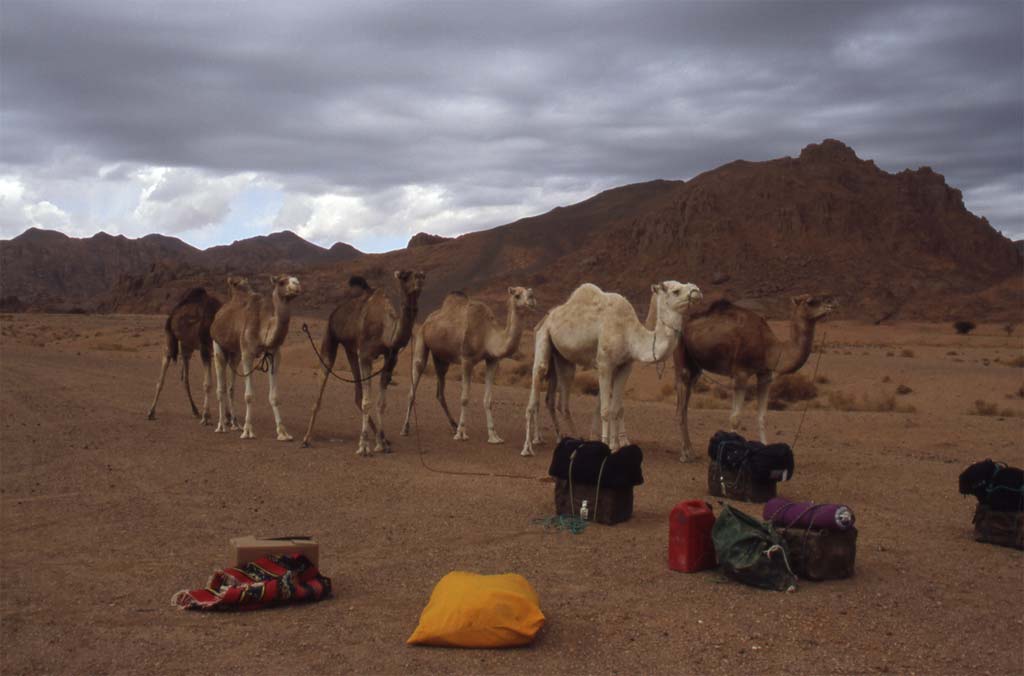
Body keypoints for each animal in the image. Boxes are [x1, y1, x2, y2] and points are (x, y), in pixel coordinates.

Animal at [210, 272, 299, 440]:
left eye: (296, 279)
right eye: (281, 282)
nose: (297, 284)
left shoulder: (274, 354)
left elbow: (274, 397)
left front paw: (283, 432)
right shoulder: (247, 353)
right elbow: (249, 395)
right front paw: (248, 431)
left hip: (235, 353)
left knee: (231, 388)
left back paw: (235, 424)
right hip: (218, 345)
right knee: (220, 388)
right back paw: (221, 426)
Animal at [299, 268, 425, 454]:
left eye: (422, 275)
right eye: (405, 275)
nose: (419, 280)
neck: (386, 330)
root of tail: (337, 310)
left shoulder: (391, 358)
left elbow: (381, 403)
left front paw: (381, 443)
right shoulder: (365, 355)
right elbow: (367, 402)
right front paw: (364, 446)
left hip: (350, 349)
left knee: (357, 392)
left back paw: (384, 439)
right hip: (331, 336)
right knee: (323, 378)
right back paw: (306, 438)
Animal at [401, 284, 540, 444]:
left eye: (529, 291)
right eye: (517, 295)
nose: (532, 298)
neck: (488, 335)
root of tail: (428, 320)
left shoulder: (492, 360)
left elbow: (488, 399)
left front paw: (494, 436)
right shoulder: (466, 359)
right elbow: (465, 398)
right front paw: (461, 434)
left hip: (441, 358)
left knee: (440, 392)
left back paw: (453, 424)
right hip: (421, 339)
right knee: (414, 381)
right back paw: (405, 428)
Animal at [675, 290, 835, 456]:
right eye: (810, 301)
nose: (830, 306)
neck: (771, 350)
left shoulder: (764, 375)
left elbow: (762, 416)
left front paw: (765, 447)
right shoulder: (741, 373)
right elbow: (735, 418)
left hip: (695, 367)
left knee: (685, 405)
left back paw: (690, 450)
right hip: (681, 353)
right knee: (681, 405)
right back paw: (685, 454)